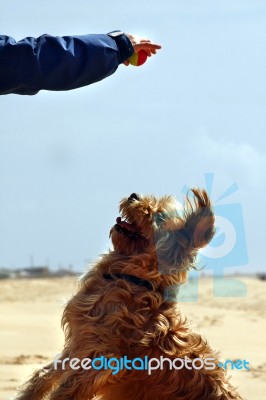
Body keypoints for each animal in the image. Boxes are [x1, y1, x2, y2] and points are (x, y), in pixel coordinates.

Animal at [15, 189, 242, 398]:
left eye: (159, 217)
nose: (134, 195)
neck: (132, 278)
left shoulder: (99, 358)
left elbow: (65, 392)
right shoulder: (78, 345)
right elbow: (43, 377)